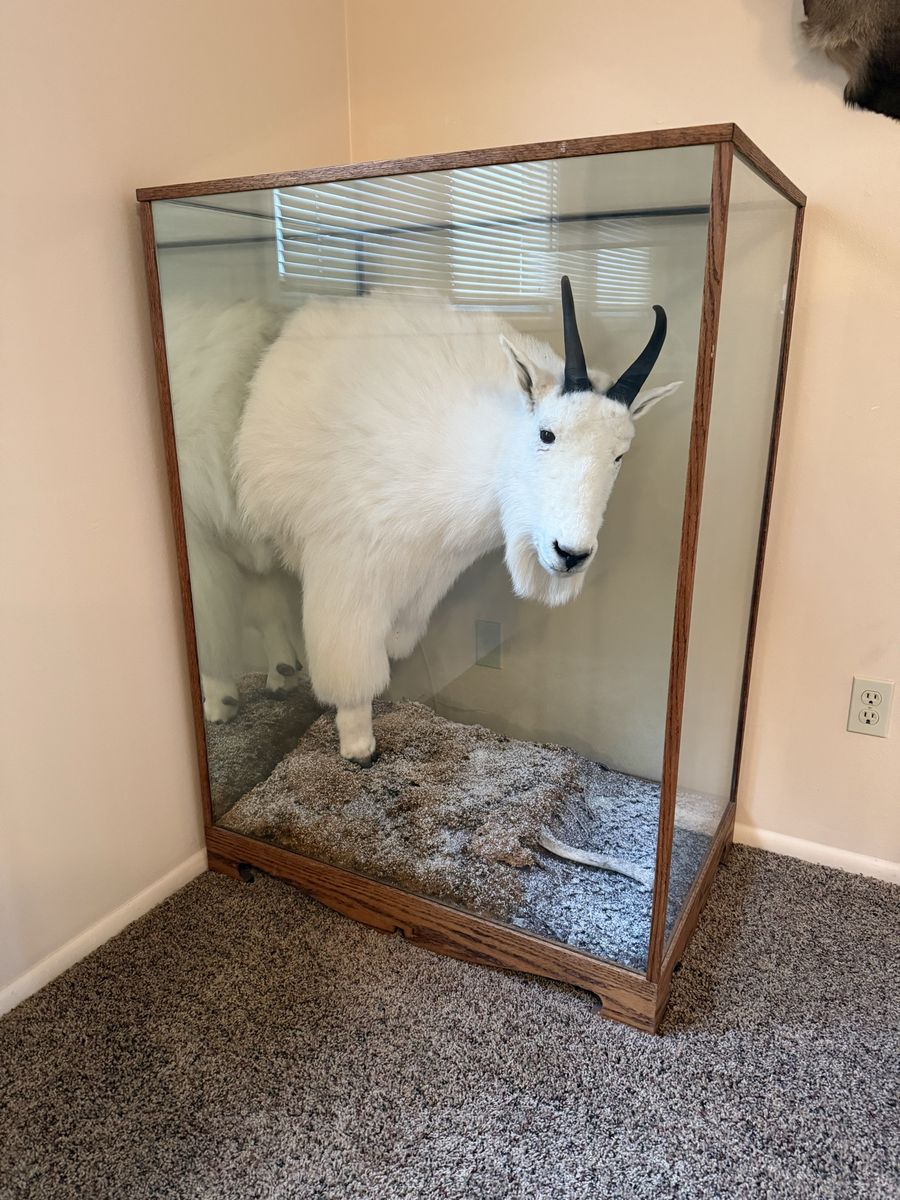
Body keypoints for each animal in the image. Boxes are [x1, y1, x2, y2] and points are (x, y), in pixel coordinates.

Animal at [235, 279, 680, 764]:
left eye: (620, 455)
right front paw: (358, 746)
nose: (570, 554)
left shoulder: (432, 569)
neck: (477, 451)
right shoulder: (349, 566)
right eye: (546, 433)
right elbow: (350, 664)